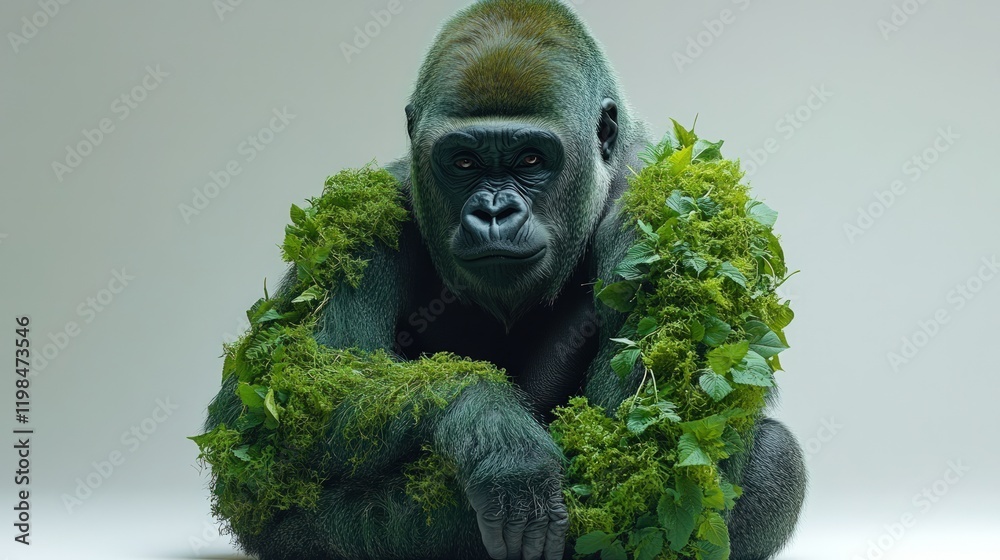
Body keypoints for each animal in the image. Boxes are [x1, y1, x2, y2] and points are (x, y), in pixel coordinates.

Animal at [203, 1, 806, 559]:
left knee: (774, 456)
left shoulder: (663, 201)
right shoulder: (371, 212)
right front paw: (493, 432)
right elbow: (278, 393)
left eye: (532, 159)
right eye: (464, 162)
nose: (493, 212)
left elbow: (632, 467)